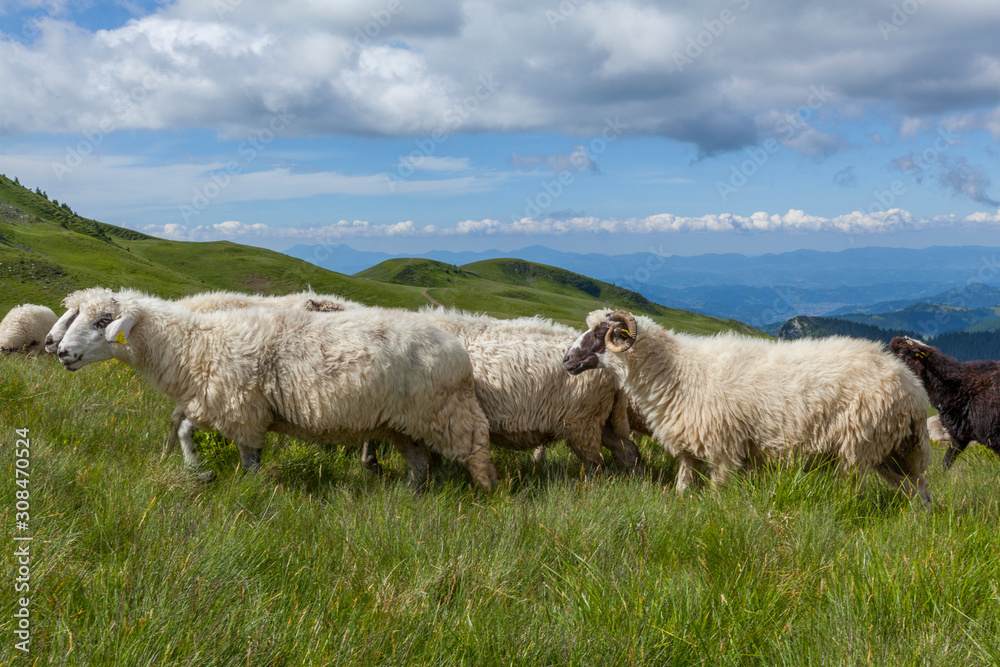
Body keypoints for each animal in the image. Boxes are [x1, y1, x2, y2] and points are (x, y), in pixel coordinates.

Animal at [55, 288, 496, 490]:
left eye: (103, 321)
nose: (60, 351)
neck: (192, 343)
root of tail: (457, 350)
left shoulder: (242, 411)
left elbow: (248, 459)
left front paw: (246, 488)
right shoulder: (212, 402)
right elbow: (181, 427)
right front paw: (196, 468)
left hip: (447, 413)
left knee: (477, 447)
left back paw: (486, 494)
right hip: (403, 423)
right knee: (419, 463)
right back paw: (408, 495)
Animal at [564, 309, 933, 504]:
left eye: (601, 332)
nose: (566, 360)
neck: (678, 371)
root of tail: (913, 389)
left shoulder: (724, 447)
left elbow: (717, 491)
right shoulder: (689, 448)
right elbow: (683, 486)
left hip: (860, 444)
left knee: (858, 488)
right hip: (893, 448)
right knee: (918, 488)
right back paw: (919, 523)